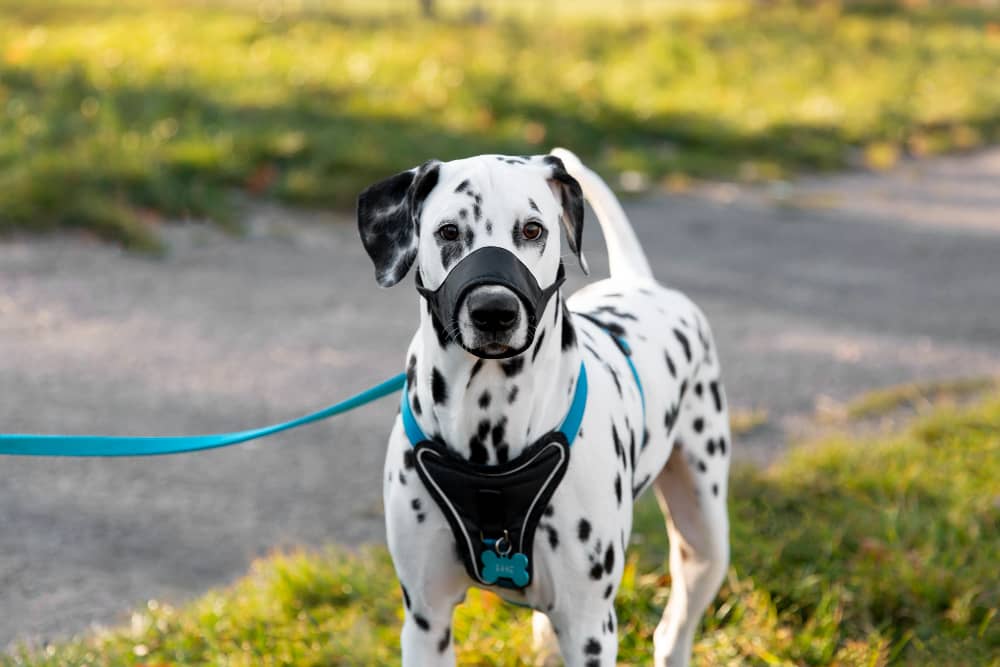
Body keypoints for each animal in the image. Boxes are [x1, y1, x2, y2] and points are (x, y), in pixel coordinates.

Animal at [356, 149, 732, 664]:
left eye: (533, 230)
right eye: (449, 231)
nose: (493, 310)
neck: (490, 423)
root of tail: (639, 281)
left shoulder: (589, 627)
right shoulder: (425, 620)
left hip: (705, 539)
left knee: (673, 630)